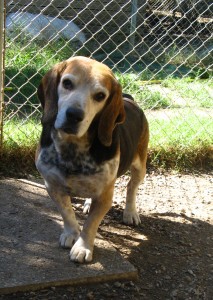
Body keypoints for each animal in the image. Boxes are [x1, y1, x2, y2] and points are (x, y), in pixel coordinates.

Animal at [35, 56, 149, 262]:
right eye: (67, 83)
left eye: (100, 96)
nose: (74, 114)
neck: (72, 149)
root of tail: (129, 99)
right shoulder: (52, 186)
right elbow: (67, 213)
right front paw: (71, 234)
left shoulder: (105, 195)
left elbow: (90, 224)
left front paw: (83, 247)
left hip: (140, 165)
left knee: (131, 187)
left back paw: (130, 212)